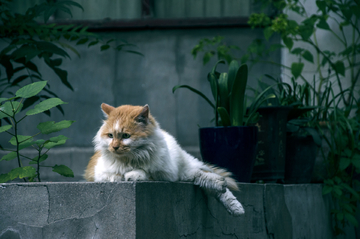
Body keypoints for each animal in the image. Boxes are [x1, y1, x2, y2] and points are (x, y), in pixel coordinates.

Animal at [85, 103, 245, 216]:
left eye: (125, 136)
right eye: (110, 136)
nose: (115, 147)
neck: (131, 158)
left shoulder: (163, 174)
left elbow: (143, 172)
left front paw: (134, 175)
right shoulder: (102, 174)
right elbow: (117, 175)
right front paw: (127, 175)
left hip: (183, 170)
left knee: (208, 178)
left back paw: (236, 206)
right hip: (184, 174)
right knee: (203, 179)